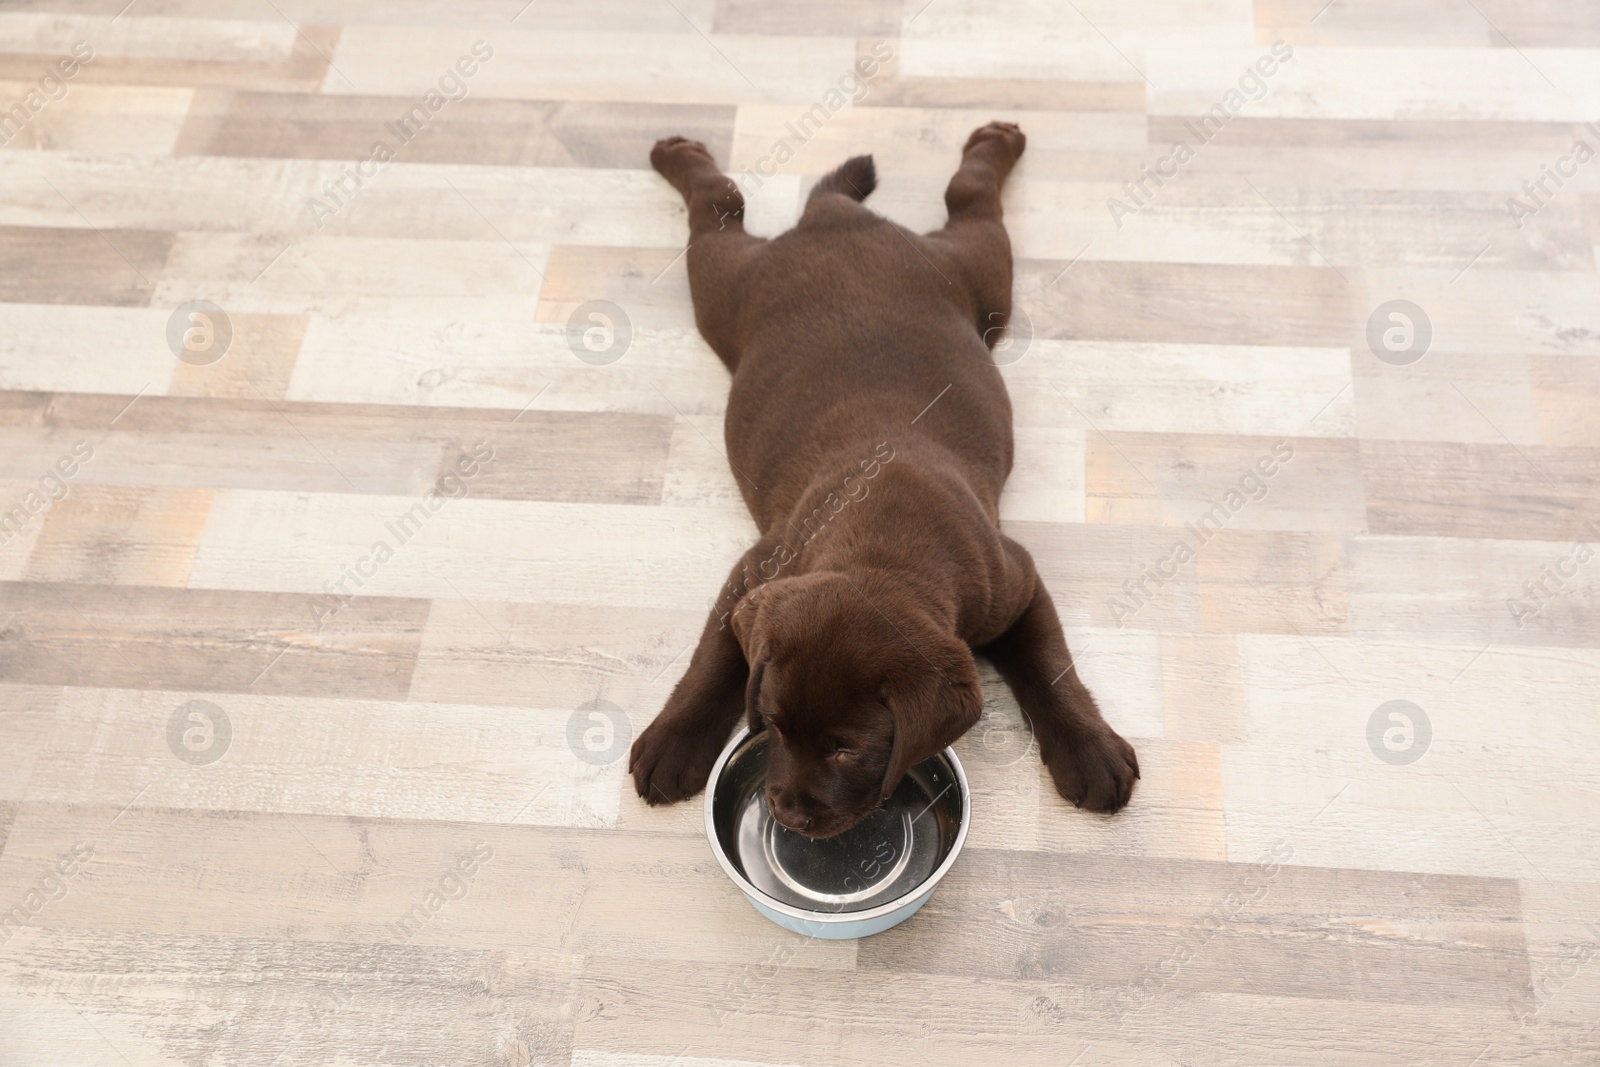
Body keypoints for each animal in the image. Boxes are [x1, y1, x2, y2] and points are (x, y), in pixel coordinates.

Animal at [627, 125, 1139, 838]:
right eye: (774, 727)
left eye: (848, 748)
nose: (787, 815)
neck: (882, 542)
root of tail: (836, 216)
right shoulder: (757, 570)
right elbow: (713, 657)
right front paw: (674, 741)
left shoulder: (1016, 581)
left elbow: (1051, 665)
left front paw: (1091, 750)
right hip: (732, 287)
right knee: (722, 204)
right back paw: (679, 153)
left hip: (976, 281)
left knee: (964, 201)